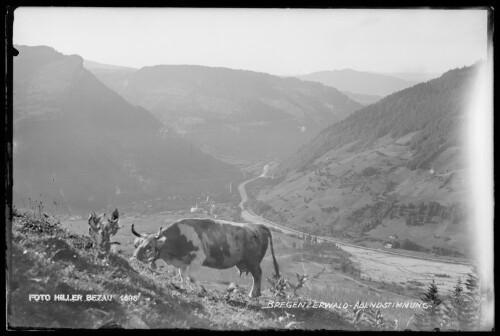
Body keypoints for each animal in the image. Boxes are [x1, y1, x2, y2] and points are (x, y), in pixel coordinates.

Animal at [132, 218, 282, 296]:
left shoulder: (198, 258)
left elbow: (191, 277)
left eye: (149, 247)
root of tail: (258, 225)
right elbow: (183, 275)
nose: (134, 257)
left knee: (257, 275)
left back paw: (253, 294)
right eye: (136, 245)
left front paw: (202, 288)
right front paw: (183, 287)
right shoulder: (183, 262)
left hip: (253, 262)